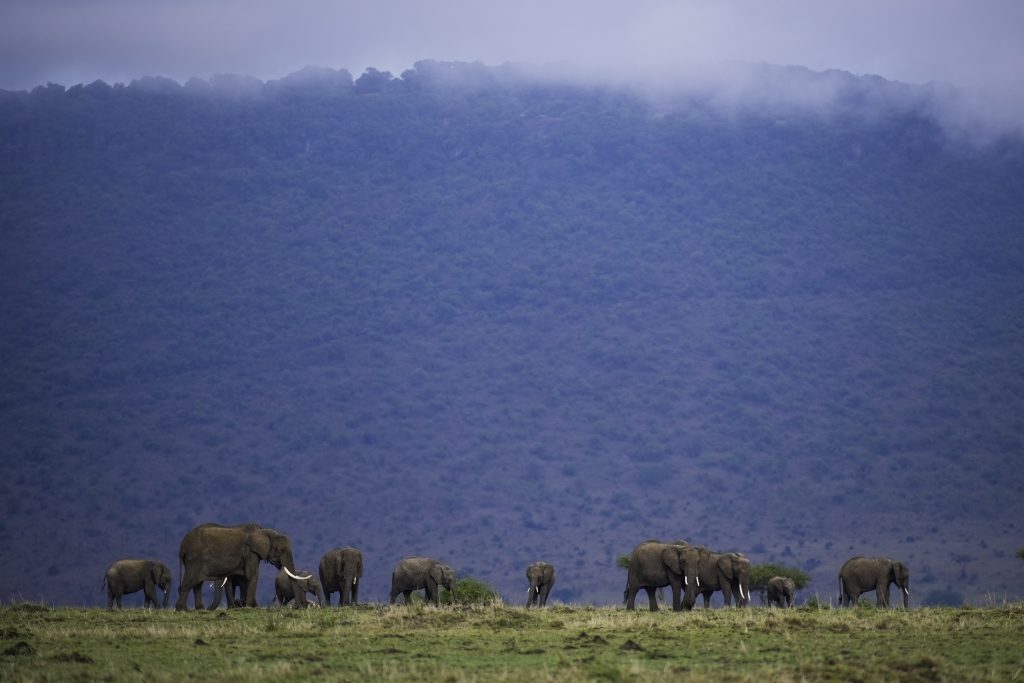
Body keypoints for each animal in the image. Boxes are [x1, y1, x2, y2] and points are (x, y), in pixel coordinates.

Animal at [175, 522, 313, 610]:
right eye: (281, 550)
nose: (297, 607)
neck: (264, 531)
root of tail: (182, 546)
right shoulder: (250, 552)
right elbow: (253, 575)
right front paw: (251, 607)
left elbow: (245, 578)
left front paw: (249, 606)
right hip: (194, 559)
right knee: (189, 582)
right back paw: (182, 609)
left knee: (197, 584)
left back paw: (200, 609)